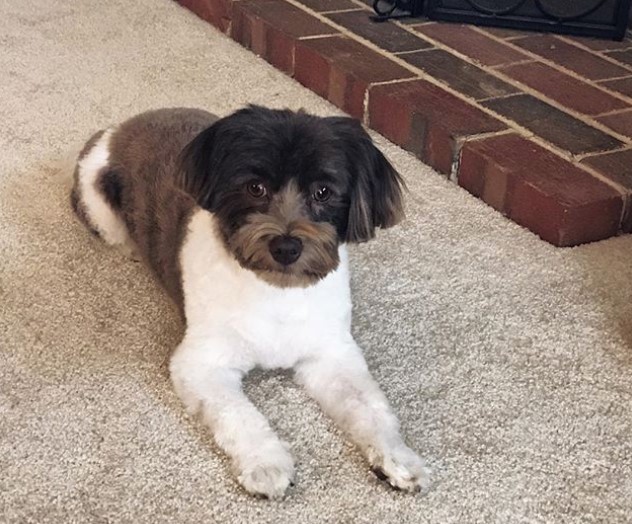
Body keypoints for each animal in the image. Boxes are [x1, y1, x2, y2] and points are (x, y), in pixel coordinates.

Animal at [70, 106, 430, 500]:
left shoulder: (330, 355)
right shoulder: (202, 364)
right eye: (256, 187)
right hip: (98, 204)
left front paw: (399, 458)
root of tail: (124, 126)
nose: (286, 246)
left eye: (322, 192)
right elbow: (240, 414)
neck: (277, 291)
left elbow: (371, 407)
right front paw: (266, 465)